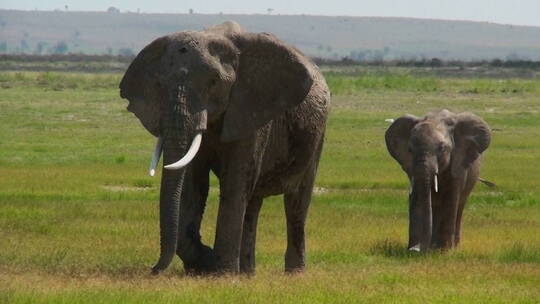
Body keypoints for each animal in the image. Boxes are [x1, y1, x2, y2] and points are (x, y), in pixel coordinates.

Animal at [119, 20, 330, 274]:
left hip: (317, 134)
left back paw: (292, 274)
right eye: (160, 84)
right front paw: (206, 265)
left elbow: (234, 183)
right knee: (253, 203)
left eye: (213, 83)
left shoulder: (251, 108)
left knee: (296, 203)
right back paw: (247, 273)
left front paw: (220, 272)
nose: (153, 269)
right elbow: (193, 186)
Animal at [386, 109, 492, 252]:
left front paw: (443, 251)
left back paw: (452, 247)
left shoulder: (458, 161)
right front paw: (419, 249)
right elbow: (417, 194)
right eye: (409, 149)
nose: (416, 250)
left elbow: (450, 199)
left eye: (442, 148)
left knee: (459, 206)